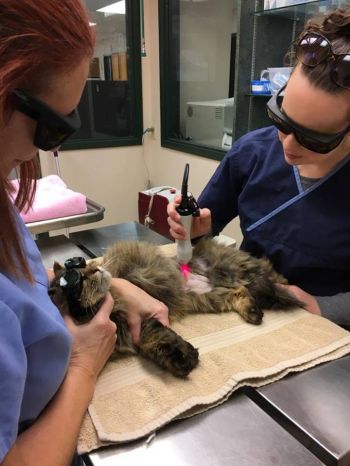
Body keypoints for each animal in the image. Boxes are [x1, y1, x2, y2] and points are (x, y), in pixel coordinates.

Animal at [49, 238, 304, 376]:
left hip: (236, 271)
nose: (96, 269)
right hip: (214, 297)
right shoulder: (136, 329)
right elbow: (154, 342)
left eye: (83, 266)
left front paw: (184, 355)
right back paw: (253, 312)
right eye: (78, 279)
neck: (114, 313)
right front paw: (180, 359)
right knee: (242, 292)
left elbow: (159, 335)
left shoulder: (141, 315)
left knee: (270, 275)